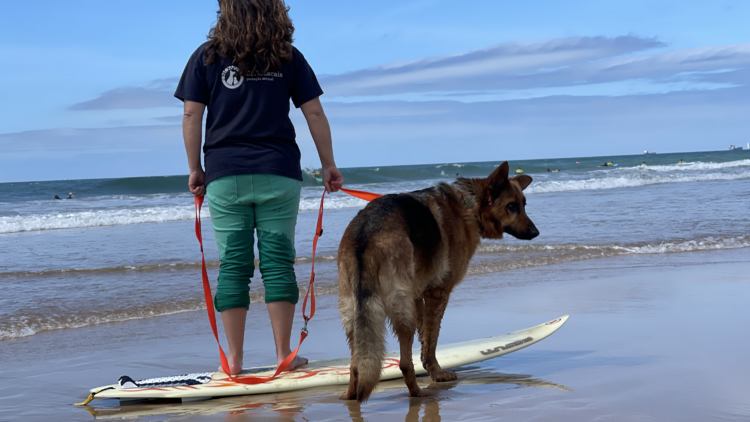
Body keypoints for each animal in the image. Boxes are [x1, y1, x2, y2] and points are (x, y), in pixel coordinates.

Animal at [338, 162, 536, 402]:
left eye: (523, 205)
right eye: (512, 206)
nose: (535, 232)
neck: (468, 205)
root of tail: (367, 231)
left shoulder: (418, 296)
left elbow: (425, 337)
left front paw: (430, 368)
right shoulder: (438, 294)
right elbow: (432, 338)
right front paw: (437, 373)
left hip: (353, 312)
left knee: (356, 364)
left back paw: (350, 395)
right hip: (401, 310)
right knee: (404, 363)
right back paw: (417, 393)